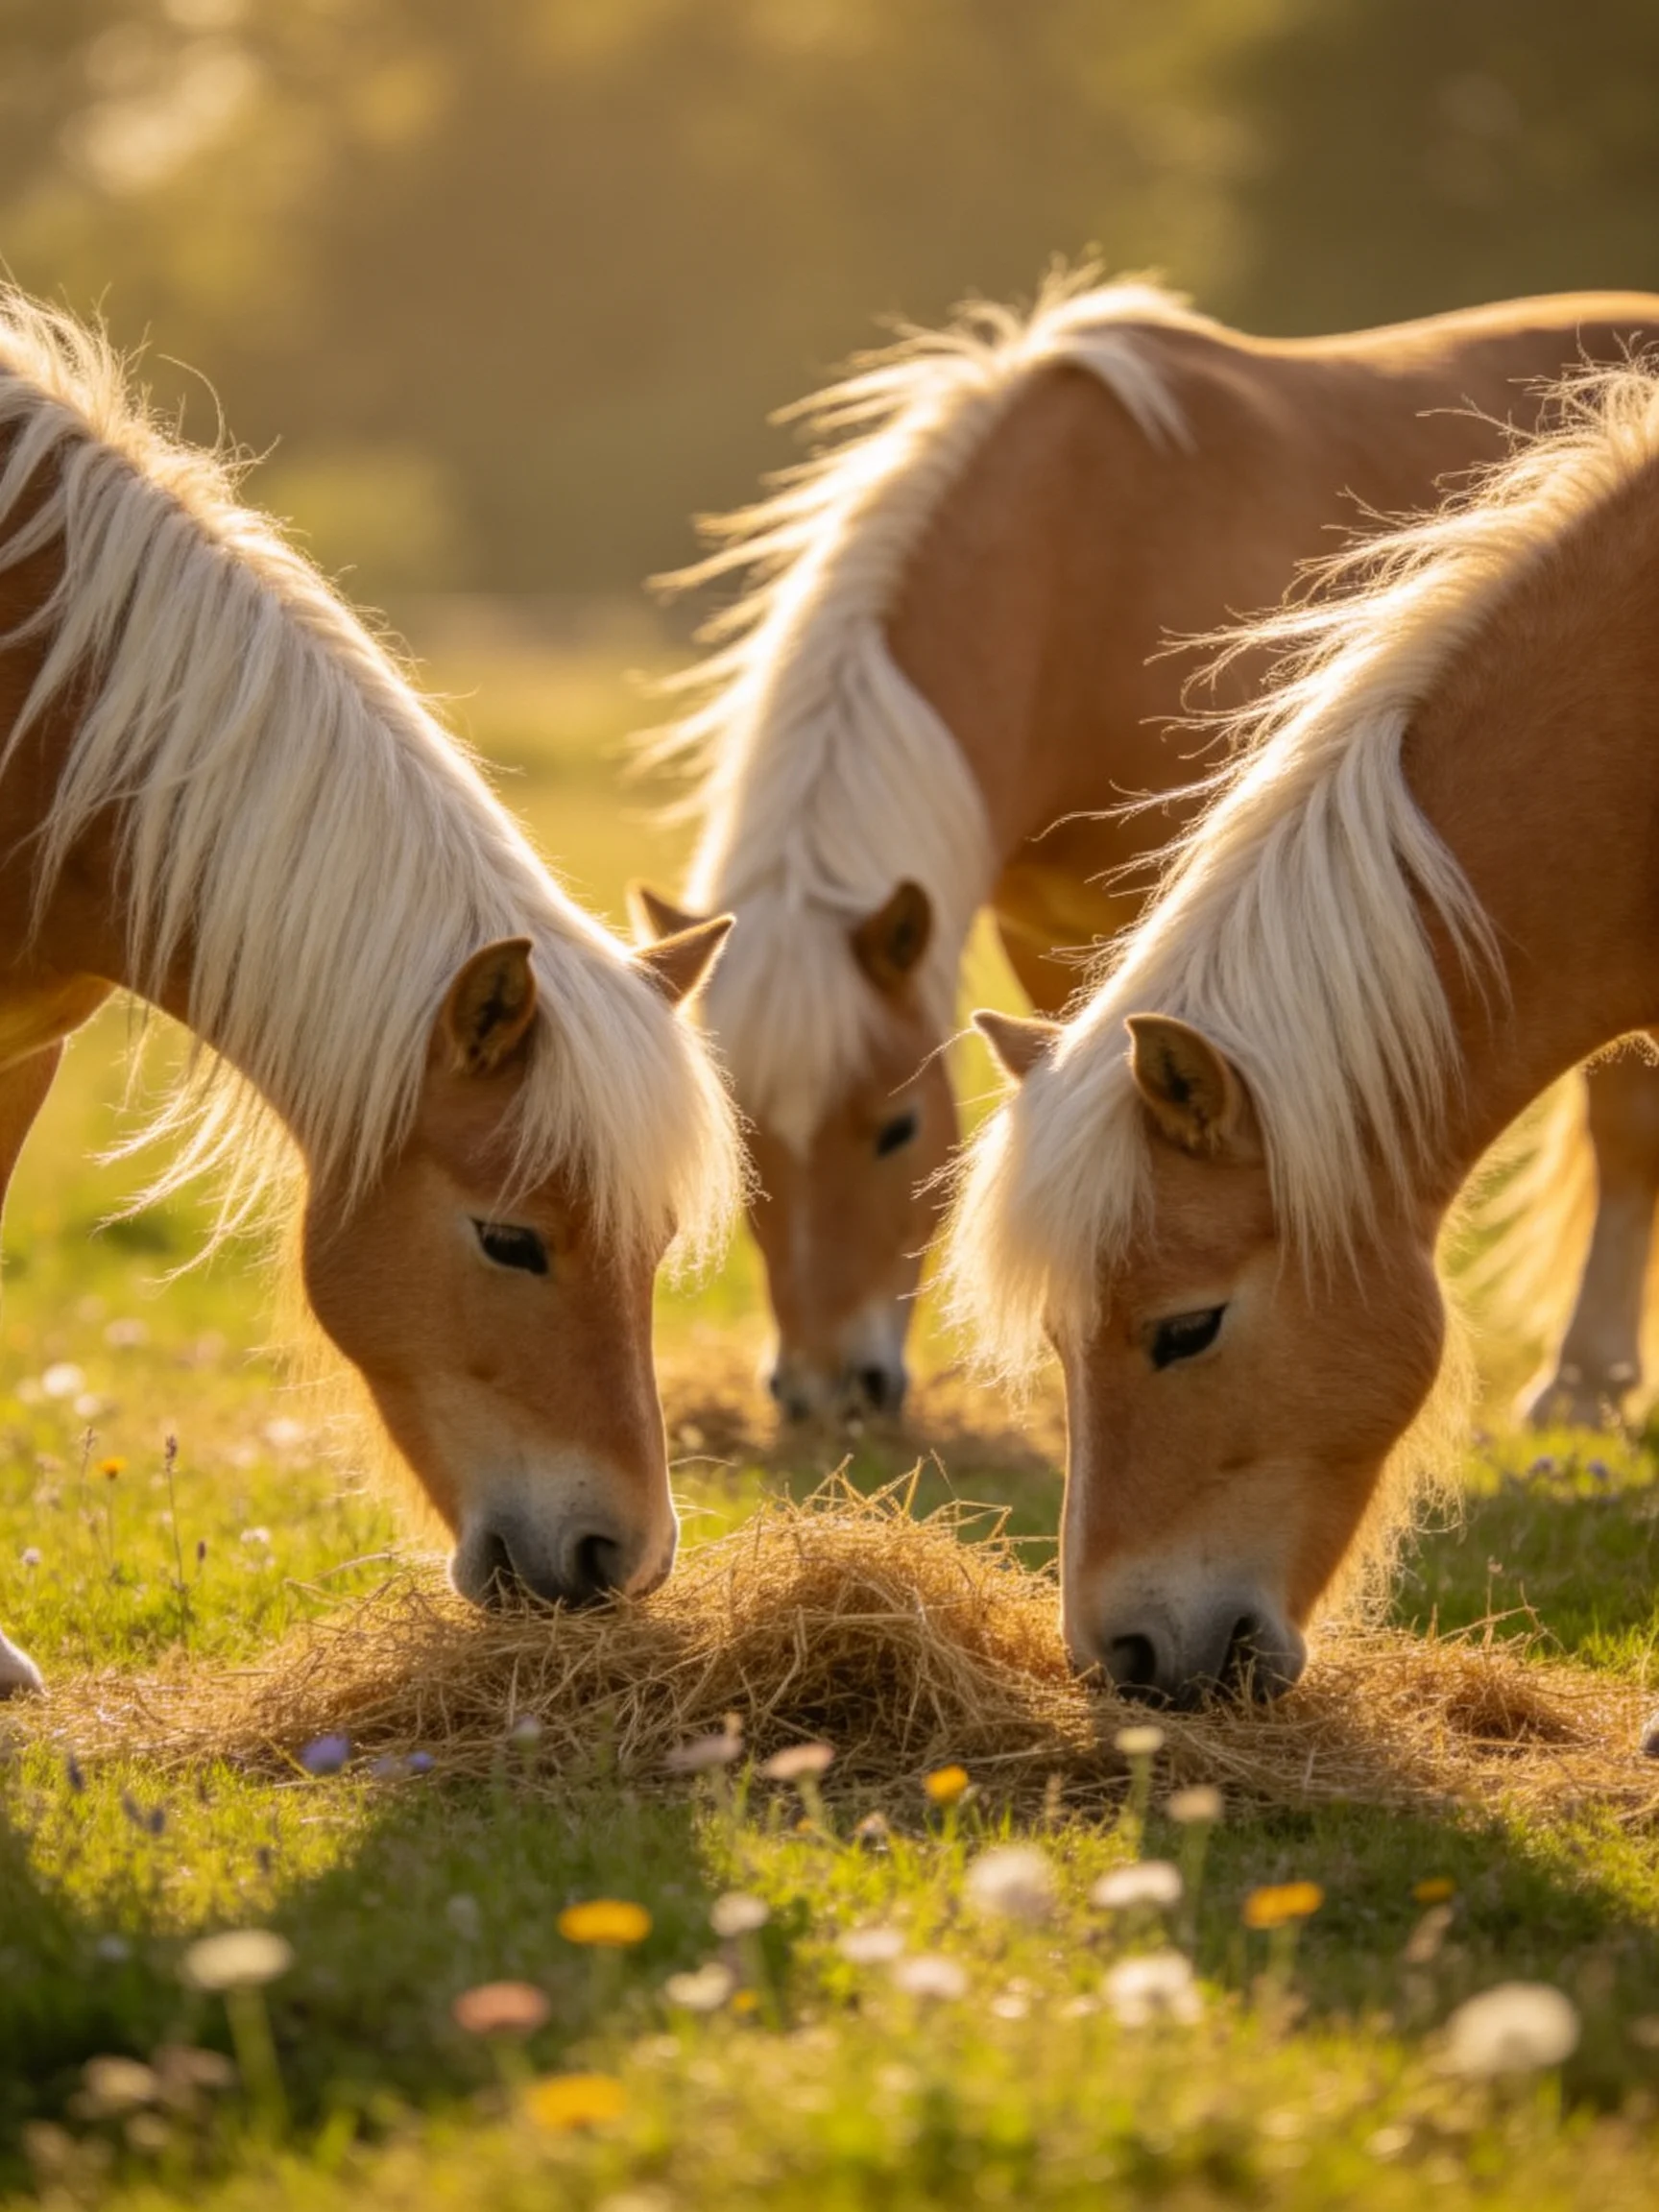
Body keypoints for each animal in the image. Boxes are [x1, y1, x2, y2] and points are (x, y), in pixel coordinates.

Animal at [634, 271, 1659, 1422]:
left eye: (896, 1127)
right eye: (747, 1134)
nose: (826, 1393)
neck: (1082, 569)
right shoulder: (1046, 935)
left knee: (1626, 1125)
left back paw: (1586, 1381)